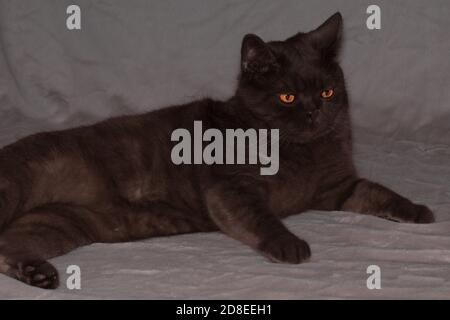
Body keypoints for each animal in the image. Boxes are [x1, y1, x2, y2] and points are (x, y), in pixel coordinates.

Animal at [0, 12, 432, 288]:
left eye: (327, 91)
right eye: (288, 96)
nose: (314, 110)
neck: (301, 151)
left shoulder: (337, 187)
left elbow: (378, 191)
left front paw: (417, 211)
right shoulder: (232, 186)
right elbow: (261, 218)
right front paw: (289, 245)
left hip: (58, 222)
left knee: (8, 245)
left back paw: (37, 274)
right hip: (18, 185)